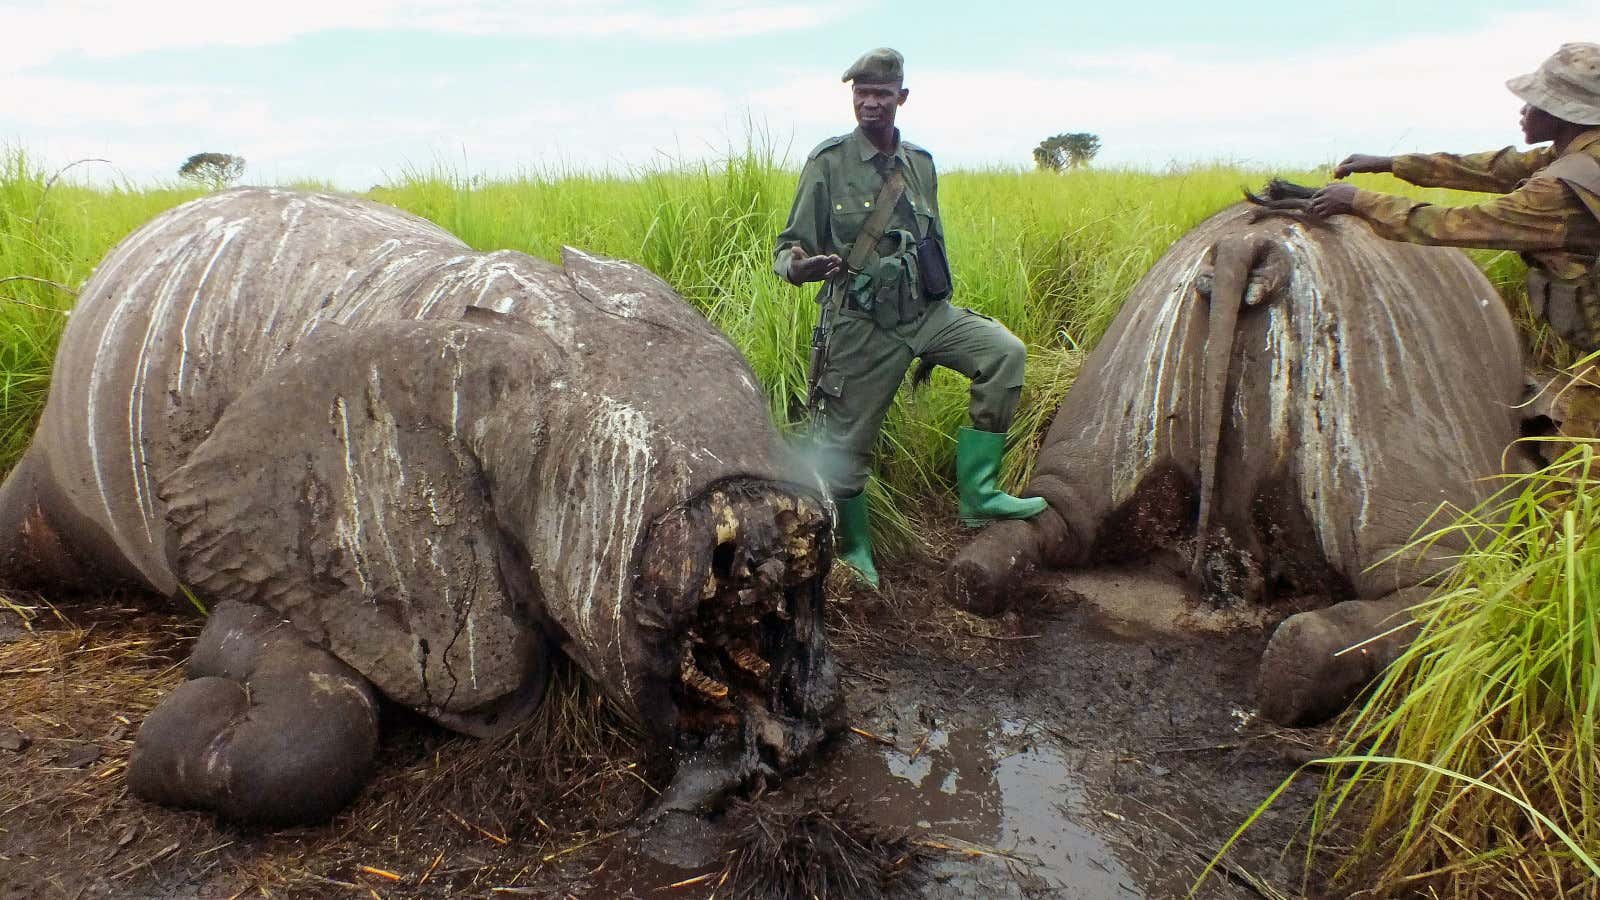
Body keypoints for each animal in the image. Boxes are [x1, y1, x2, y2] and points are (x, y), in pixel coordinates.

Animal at [947, 194, 1523, 720]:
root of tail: (1254, 244)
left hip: (1123, 392)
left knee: (1064, 513)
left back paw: (974, 575)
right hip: (1389, 425)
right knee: (1448, 590)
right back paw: (1298, 669)